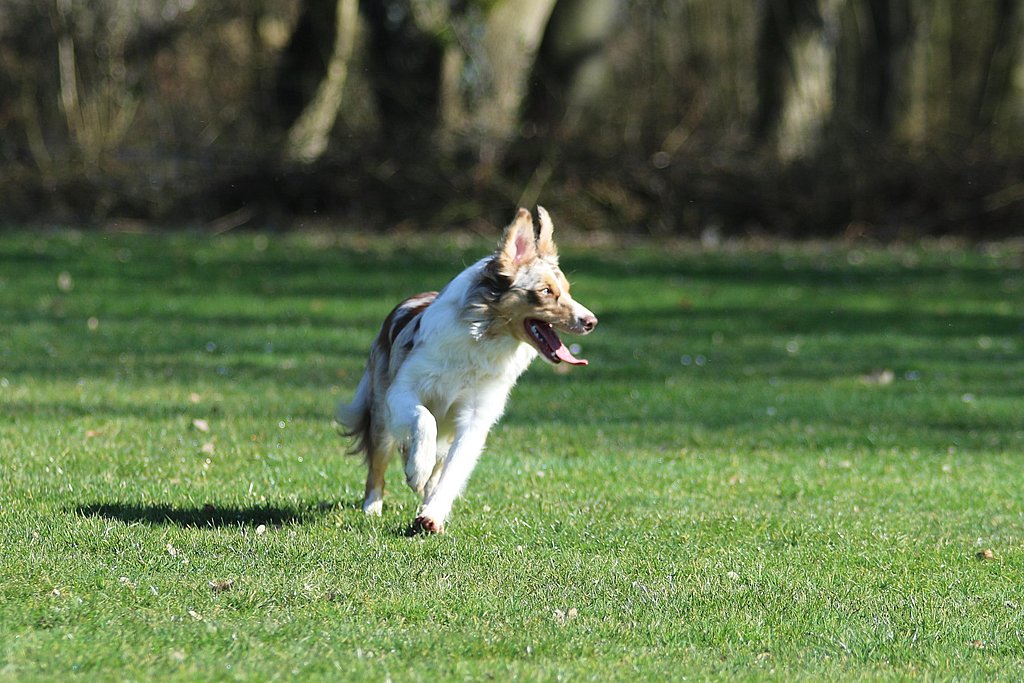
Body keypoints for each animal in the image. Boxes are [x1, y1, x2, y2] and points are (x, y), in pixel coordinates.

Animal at [336, 207, 597, 533]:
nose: (591, 321)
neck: (483, 339)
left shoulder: (475, 419)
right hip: (382, 413)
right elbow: (424, 419)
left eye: (568, 291)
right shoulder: (402, 391)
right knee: (378, 464)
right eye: (546, 291)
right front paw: (416, 470)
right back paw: (374, 506)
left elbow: (453, 471)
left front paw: (432, 514)